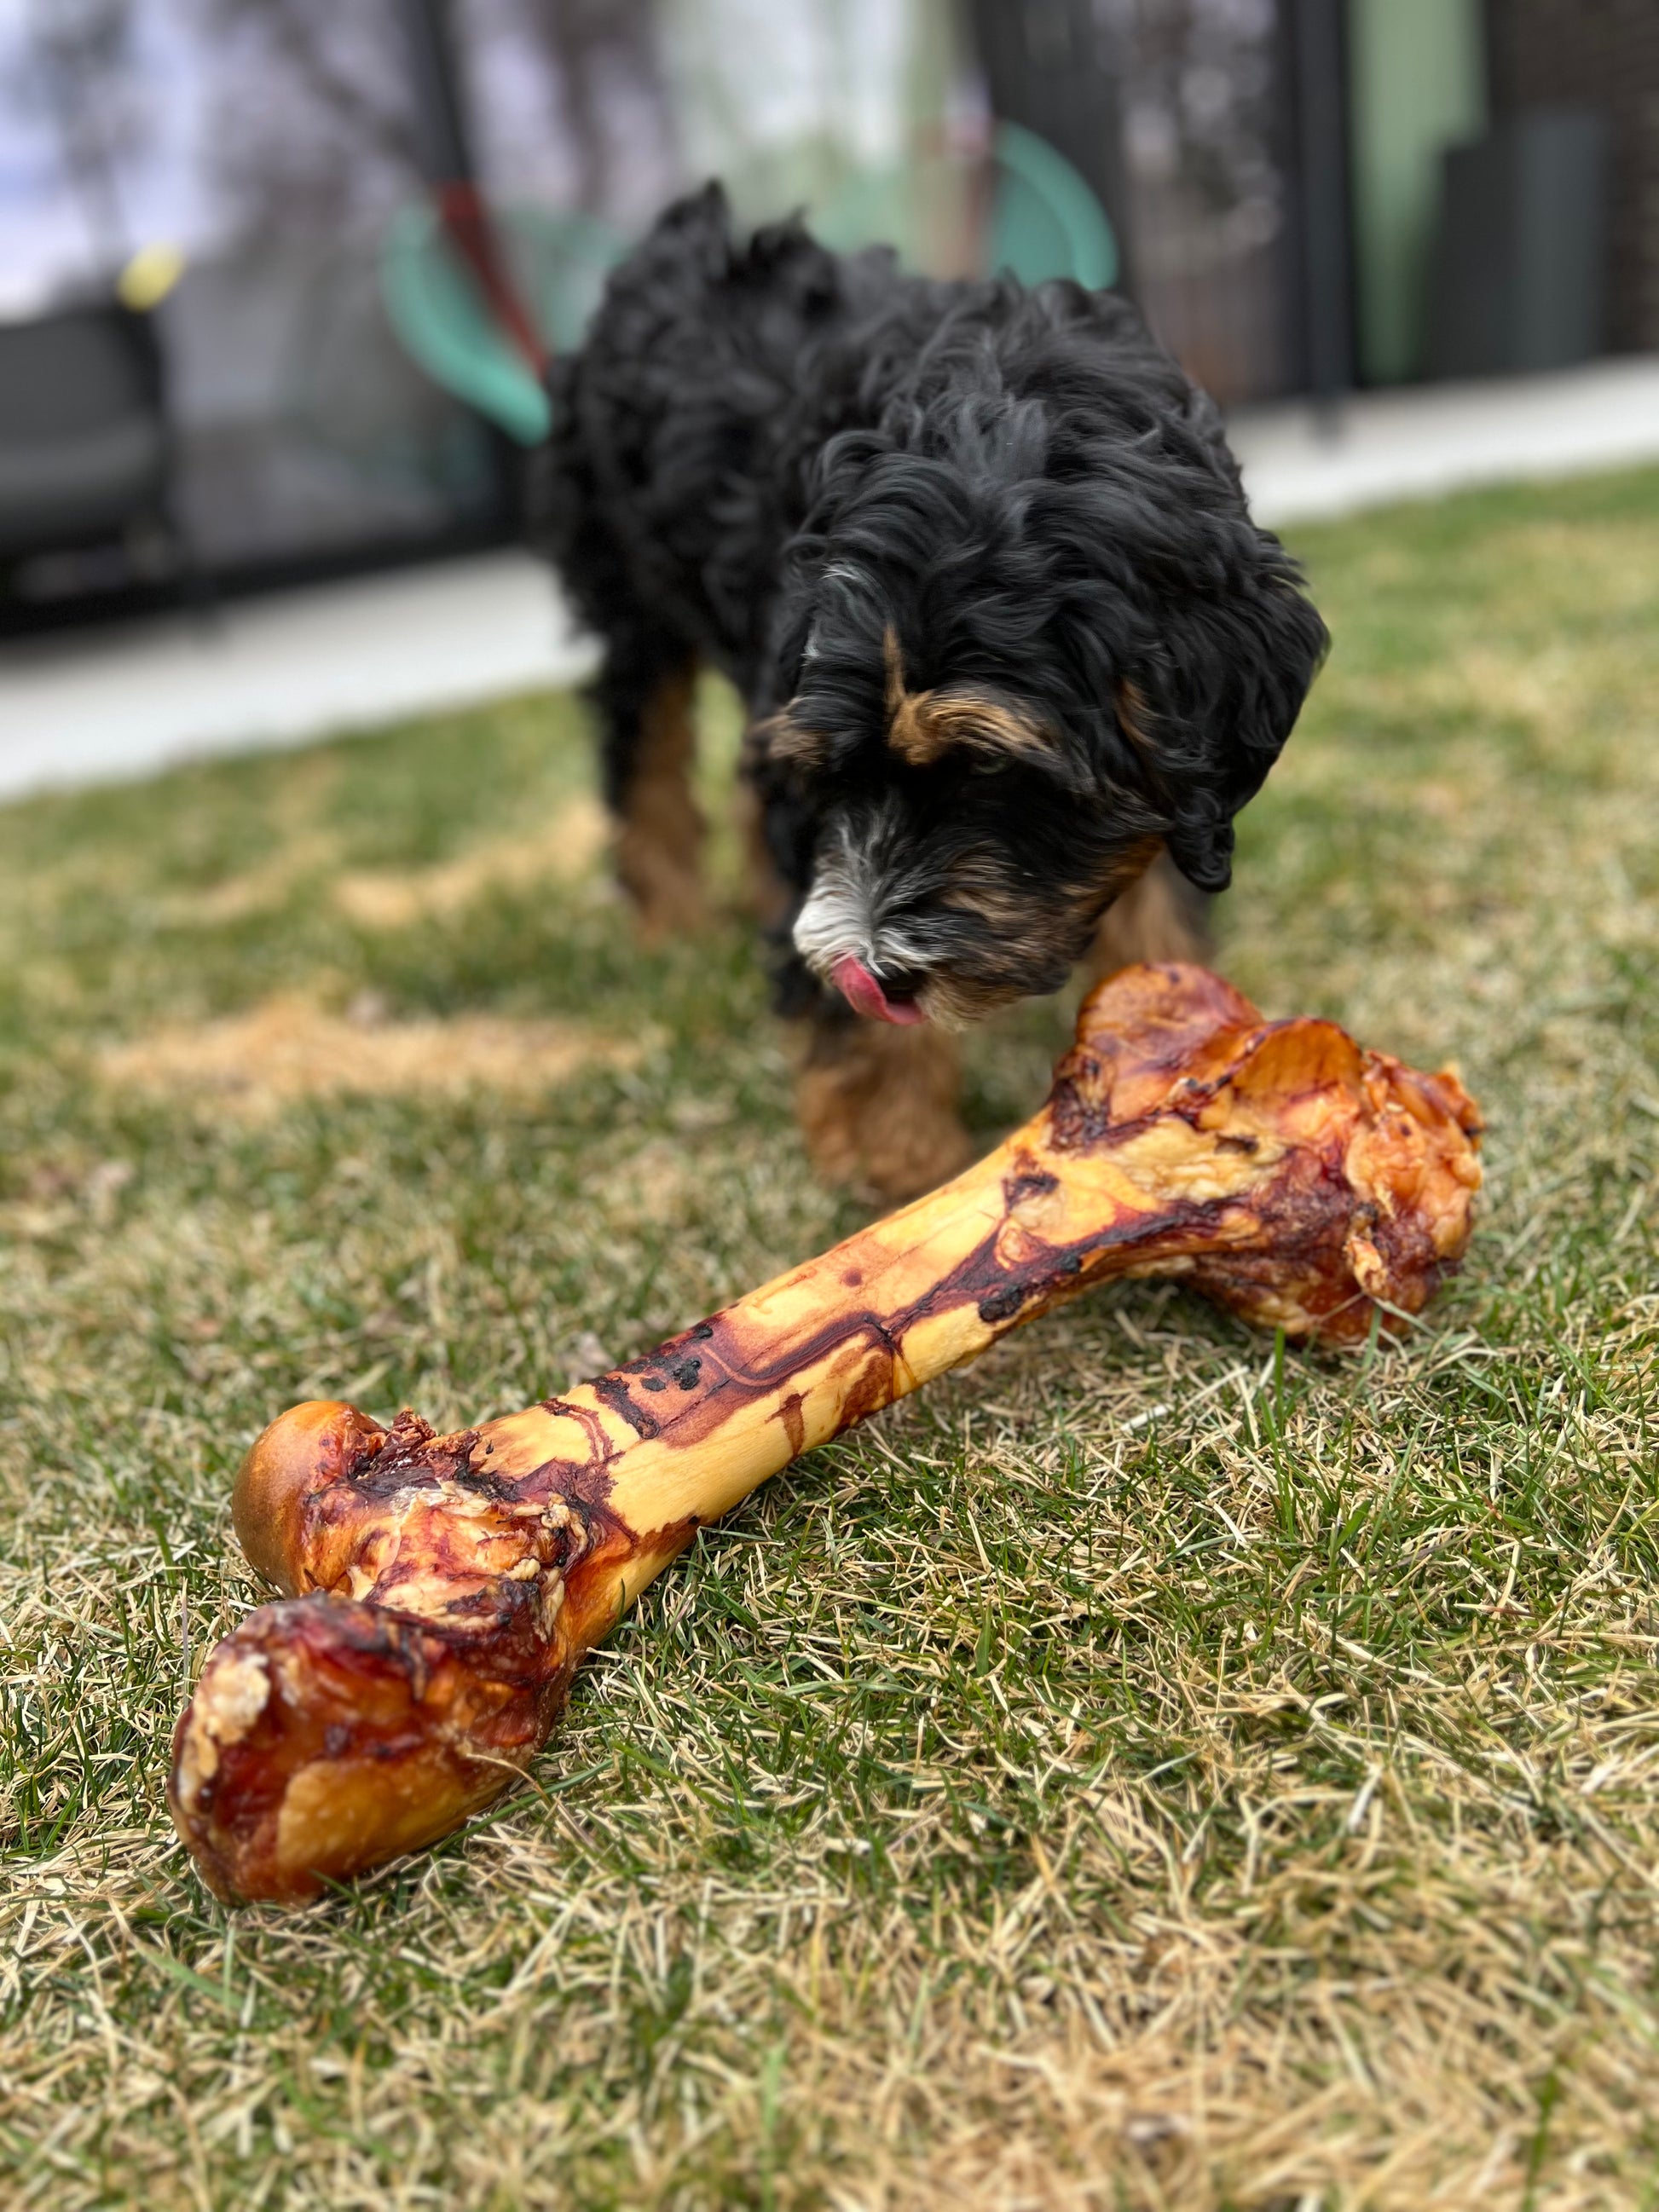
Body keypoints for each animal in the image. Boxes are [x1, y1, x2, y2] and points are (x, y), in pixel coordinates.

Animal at [540, 185, 1336, 1194]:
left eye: (990, 771)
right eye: (846, 772)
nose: (880, 973)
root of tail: (682, 231)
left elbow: (1157, 908)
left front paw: (1176, 1042)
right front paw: (903, 1162)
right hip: (627, 586)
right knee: (641, 746)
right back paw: (674, 923)